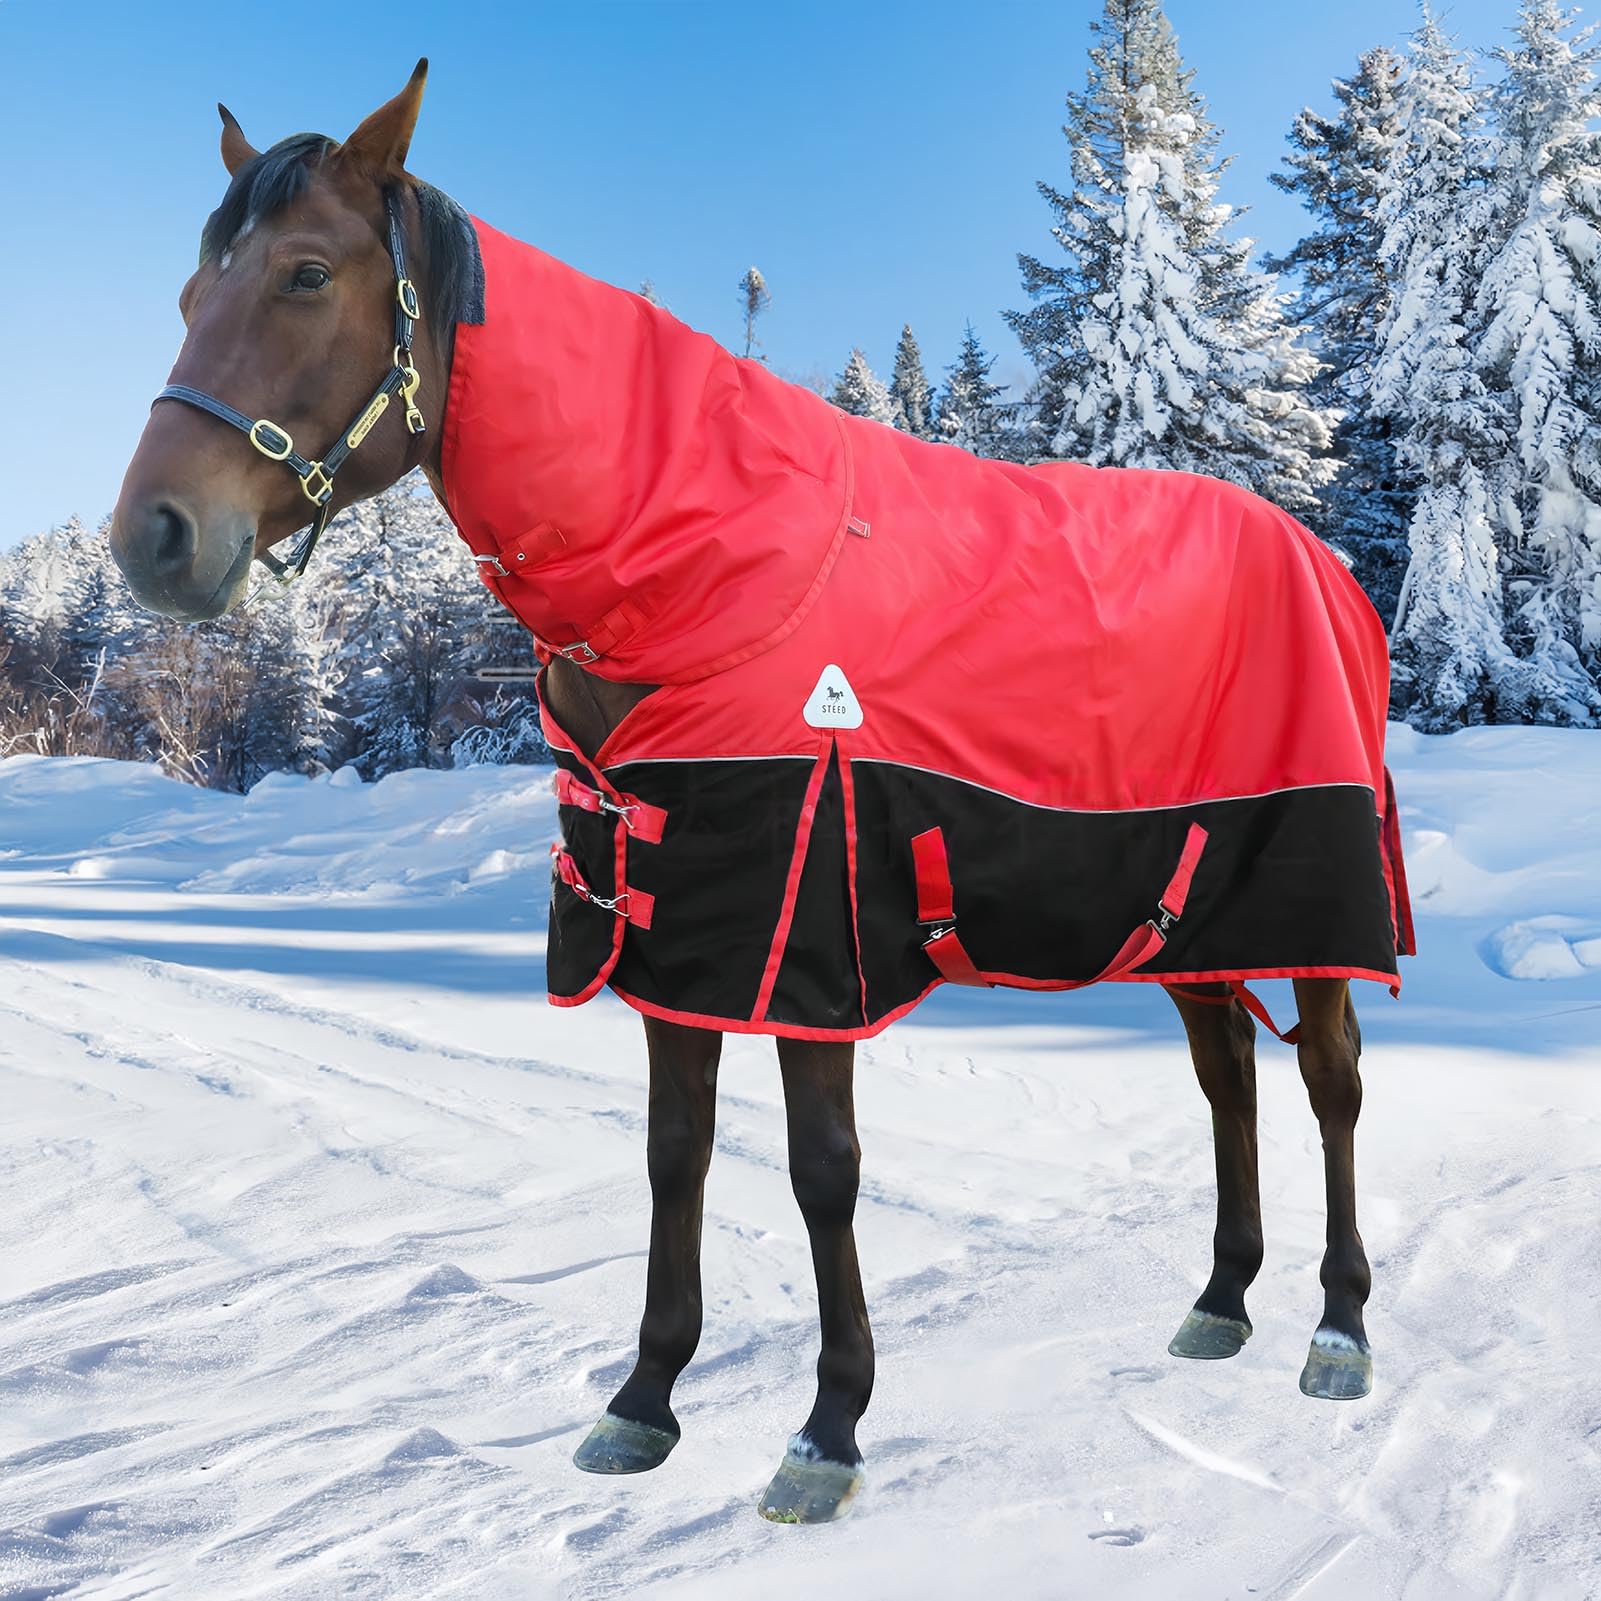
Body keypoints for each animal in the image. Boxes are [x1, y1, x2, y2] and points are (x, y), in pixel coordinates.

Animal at [108, 61, 1410, 1524]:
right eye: (188, 293)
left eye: (306, 274)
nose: (151, 536)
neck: (706, 563)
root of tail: (1323, 564)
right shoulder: (675, 928)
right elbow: (676, 1151)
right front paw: (643, 1399)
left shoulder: (806, 932)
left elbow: (819, 1172)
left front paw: (828, 1428)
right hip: (1182, 904)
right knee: (1225, 1074)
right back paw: (1221, 1298)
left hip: (1310, 897)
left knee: (1331, 1086)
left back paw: (1337, 1326)